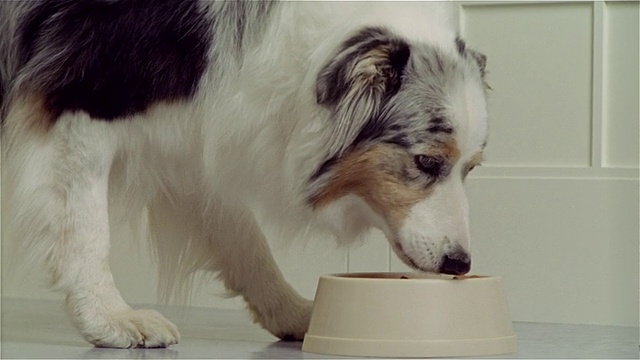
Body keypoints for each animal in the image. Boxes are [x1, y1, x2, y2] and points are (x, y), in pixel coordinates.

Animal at [1, 0, 490, 348]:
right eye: (426, 162)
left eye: (471, 168)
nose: (459, 264)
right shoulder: (77, 99)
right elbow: (86, 228)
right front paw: (109, 318)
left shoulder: (196, 130)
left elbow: (243, 238)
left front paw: (295, 313)